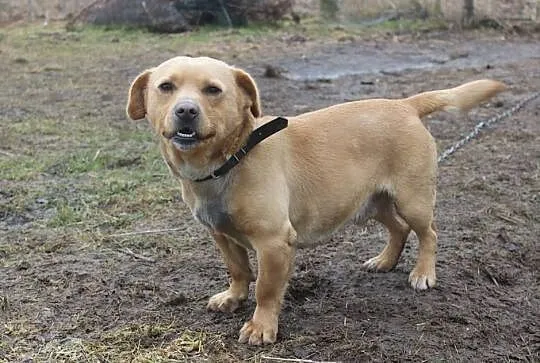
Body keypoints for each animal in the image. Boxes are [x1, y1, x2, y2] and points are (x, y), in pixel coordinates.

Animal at [126, 55, 506, 346]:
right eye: (166, 87)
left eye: (213, 90)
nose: (186, 111)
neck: (229, 161)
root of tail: (405, 105)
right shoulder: (221, 235)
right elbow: (238, 270)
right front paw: (233, 298)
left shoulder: (274, 242)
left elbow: (265, 289)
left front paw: (261, 327)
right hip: (372, 203)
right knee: (398, 230)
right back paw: (384, 261)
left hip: (413, 200)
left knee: (428, 234)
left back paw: (423, 273)